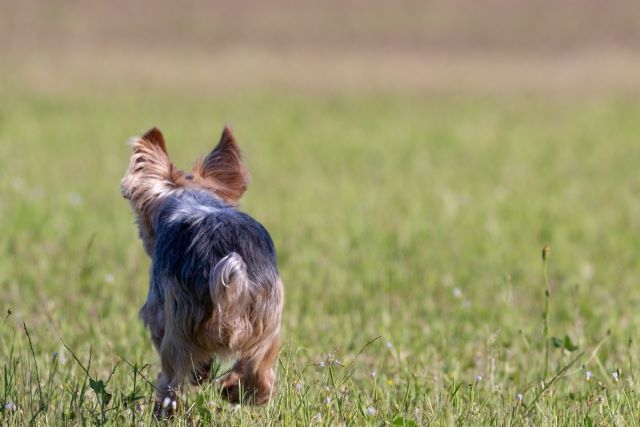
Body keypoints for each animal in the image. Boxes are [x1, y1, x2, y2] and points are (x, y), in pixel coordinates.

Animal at [120, 126, 284, 414]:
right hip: (268, 320)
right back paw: (232, 389)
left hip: (179, 326)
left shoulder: (157, 310)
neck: (192, 198)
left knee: (172, 382)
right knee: (260, 375)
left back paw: (163, 410)